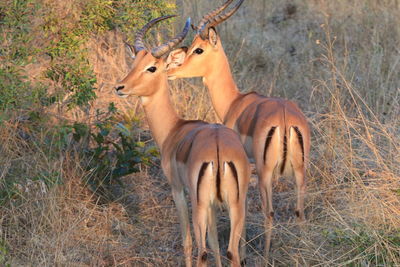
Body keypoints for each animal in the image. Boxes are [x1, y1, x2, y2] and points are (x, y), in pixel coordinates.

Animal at [113, 15, 250, 266]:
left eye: (152, 67)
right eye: (133, 63)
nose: (120, 87)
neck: (174, 130)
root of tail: (218, 151)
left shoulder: (177, 189)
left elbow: (188, 242)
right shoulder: (213, 206)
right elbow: (215, 242)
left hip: (199, 205)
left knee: (201, 250)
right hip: (235, 205)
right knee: (232, 251)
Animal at [167, 0, 310, 260]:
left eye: (198, 50)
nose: (171, 71)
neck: (236, 101)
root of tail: (285, 119)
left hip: (265, 173)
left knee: (269, 212)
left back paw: (265, 256)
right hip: (299, 171)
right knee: (299, 211)